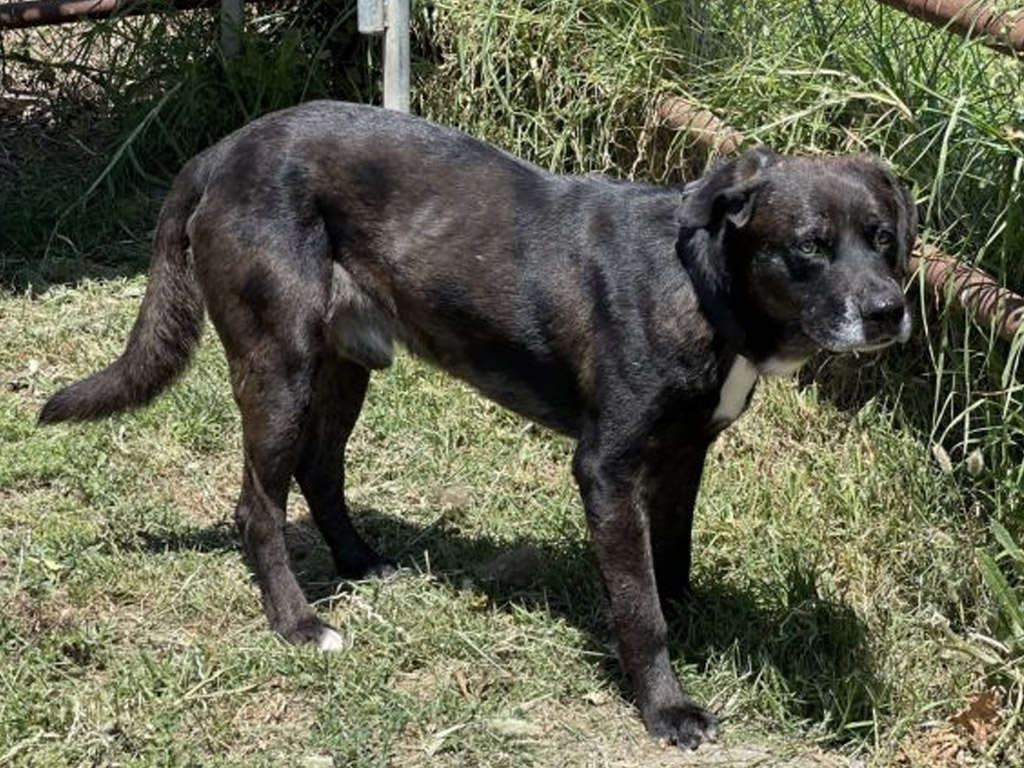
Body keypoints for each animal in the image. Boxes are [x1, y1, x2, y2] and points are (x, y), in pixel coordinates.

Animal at [39, 101, 916, 749]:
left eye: (884, 239)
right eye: (809, 248)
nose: (888, 311)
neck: (701, 286)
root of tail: (224, 150)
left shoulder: (685, 455)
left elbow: (671, 562)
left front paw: (693, 628)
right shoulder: (606, 469)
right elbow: (639, 609)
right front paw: (666, 708)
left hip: (344, 364)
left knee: (322, 471)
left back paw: (363, 563)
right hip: (279, 366)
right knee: (258, 506)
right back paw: (298, 624)